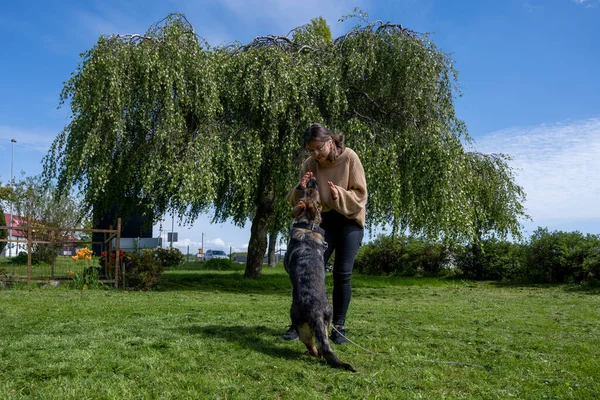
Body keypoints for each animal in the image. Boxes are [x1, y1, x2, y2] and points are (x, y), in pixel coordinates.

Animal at [282, 178, 354, 372]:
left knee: (312, 345)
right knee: (323, 344)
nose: (312, 180)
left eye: (308, 192)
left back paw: (312, 352)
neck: (308, 225)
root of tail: (314, 312)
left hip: (299, 322)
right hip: (327, 320)